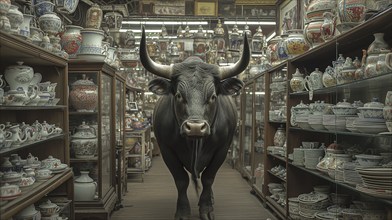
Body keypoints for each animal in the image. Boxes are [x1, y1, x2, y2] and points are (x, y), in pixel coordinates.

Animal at [141, 27, 250, 220]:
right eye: (178, 95)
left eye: (213, 96)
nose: (195, 128)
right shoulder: (167, 150)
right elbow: (181, 180)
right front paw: (183, 211)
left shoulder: (222, 149)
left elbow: (208, 178)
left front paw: (206, 208)